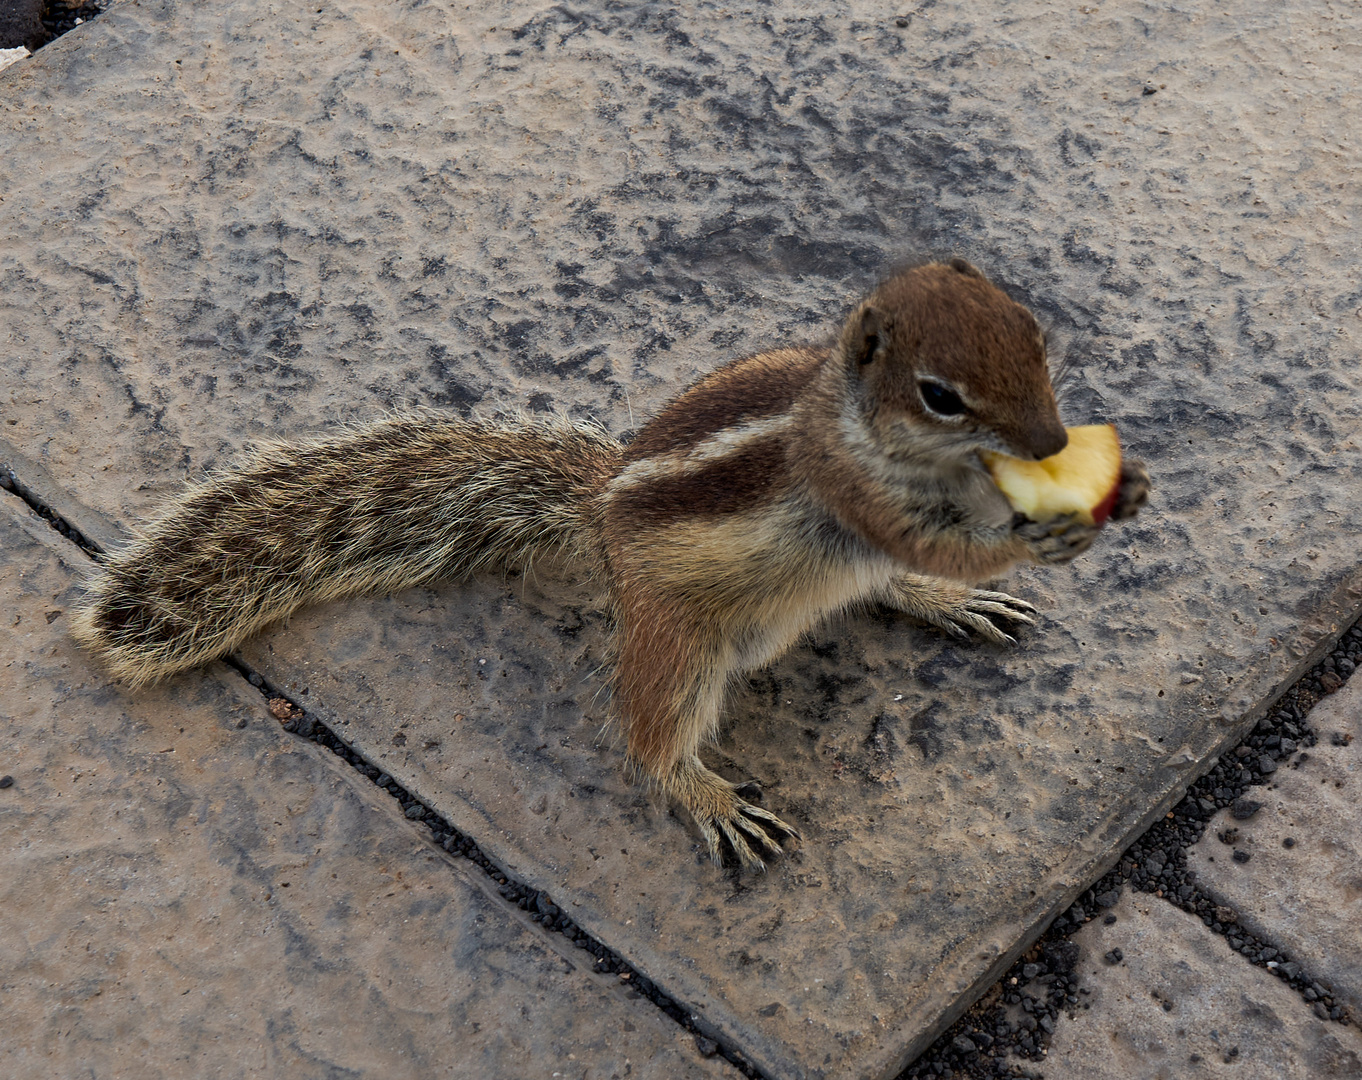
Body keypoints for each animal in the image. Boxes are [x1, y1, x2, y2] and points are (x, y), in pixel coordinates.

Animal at [71, 258, 1149, 866]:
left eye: (1034, 333)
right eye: (939, 394)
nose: (1054, 437)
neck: (857, 419)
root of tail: (599, 512)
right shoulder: (852, 491)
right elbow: (927, 536)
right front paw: (1043, 532)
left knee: (886, 588)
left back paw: (949, 606)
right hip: (678, 644)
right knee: (649, 735)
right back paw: (706, 797)